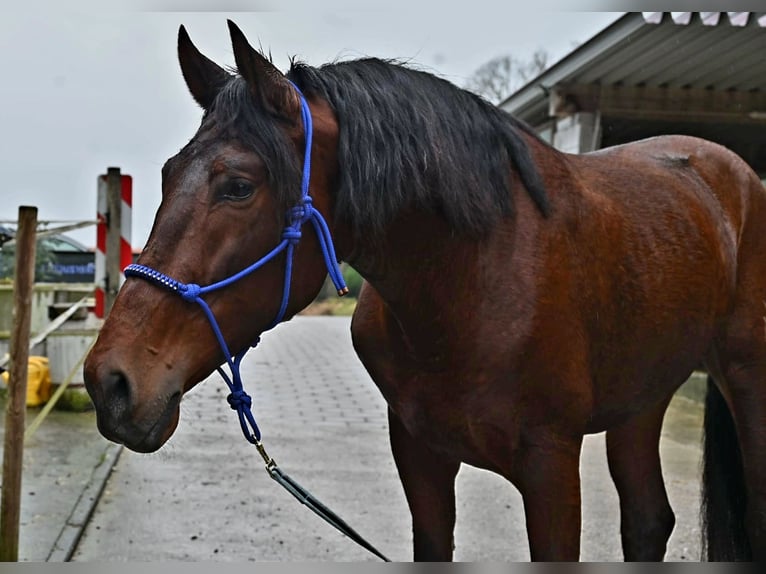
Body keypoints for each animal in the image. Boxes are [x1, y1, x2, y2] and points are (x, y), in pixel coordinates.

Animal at [84, 21, 766, 564]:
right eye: (169, 173)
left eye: (238, 186)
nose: (109, 381)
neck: (472, 284)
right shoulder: (420, 454)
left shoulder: (551, 466)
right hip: (642, 398)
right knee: (648, 521)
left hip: (744, 384)